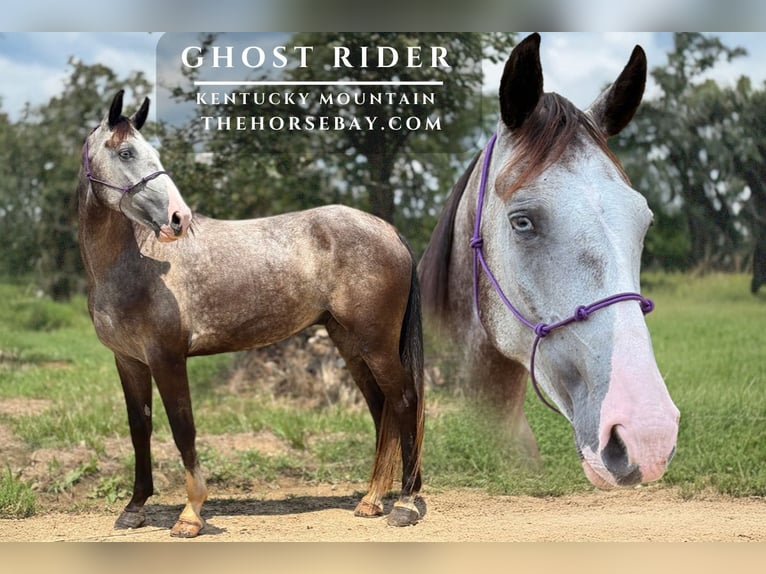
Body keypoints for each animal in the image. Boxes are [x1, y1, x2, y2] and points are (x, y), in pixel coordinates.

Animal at [78, 90, 425, 537]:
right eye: (125, 152)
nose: (178, 218)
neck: (138, 263)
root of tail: (388, 230)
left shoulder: (167, 358)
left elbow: (183, 429)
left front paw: (190, 515)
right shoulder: (129, 361)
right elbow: (141, 429)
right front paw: (134, 508)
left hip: (377, 342)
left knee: (404, 400)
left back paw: (407, 502)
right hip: (350, 343)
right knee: (382, 408)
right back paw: (373, 499)